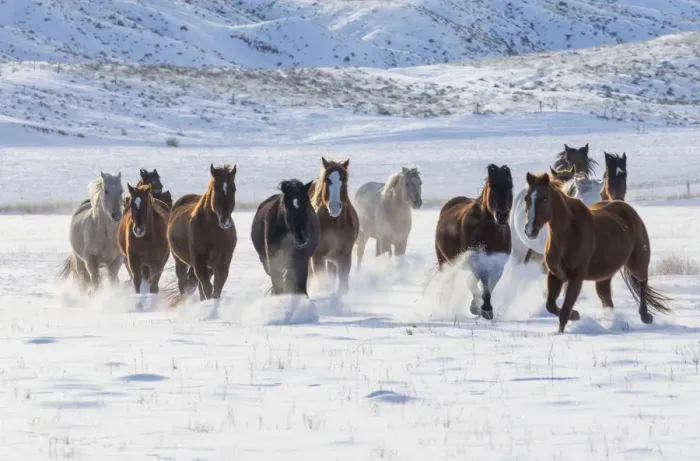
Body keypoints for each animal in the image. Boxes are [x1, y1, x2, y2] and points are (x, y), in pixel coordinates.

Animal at [166, 164, 238, 304]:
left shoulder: (223, 264)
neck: (213, 233)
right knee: (183, 283)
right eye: (215, 188)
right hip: (180, 261)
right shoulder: (199, 261)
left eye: (234, 189)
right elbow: (207, 288)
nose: (225, 221)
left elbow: (216, 289)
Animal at [307, 157, 359, 294]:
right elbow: (323, 285)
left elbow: (342, 287)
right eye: (327, 179)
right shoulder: (317, 256)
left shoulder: (344, 256)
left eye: (344, 179)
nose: (334, 207)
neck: (334, 223)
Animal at [434, 164, 513, 320]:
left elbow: (488, 284)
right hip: (444, 261)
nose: (502, 215)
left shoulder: (497, 263)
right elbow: (479, 282)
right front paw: (482, 308)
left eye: (510, 187)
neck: (489, 231)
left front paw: (482, 308)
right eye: (492, 187)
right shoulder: (476, 259)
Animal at [522, 171, 671, 333]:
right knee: (607, 300)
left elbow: (564, 312)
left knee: (642, 284)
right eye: (526, 198)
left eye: (545, 198)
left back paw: (645, 317)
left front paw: (563, 330)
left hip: (637, 264)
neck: (567, 234)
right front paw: (575, 315)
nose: (530, 230)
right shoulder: (555, 275)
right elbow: (550, 306)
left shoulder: (576, 278)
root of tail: (627, 208)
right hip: (604, 275)